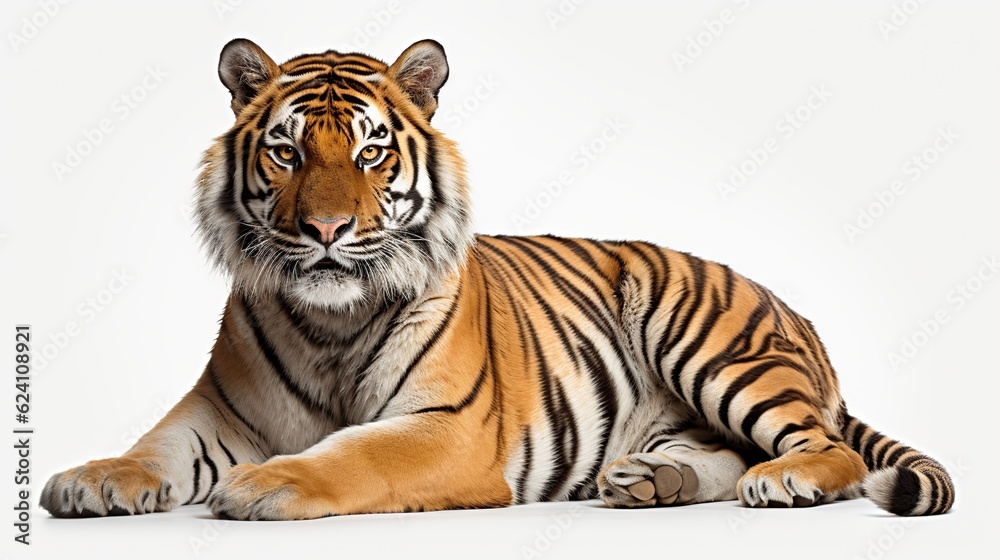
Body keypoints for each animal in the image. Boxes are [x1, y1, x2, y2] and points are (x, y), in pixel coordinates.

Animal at [40, 38, 954, 520]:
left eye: (370, 153)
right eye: (288, 152)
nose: (327, 231)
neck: (332, 320)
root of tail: (797, 315)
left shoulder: (447, 427)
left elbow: (353, 453)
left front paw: (267, 483)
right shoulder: (217, 409)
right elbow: (154, 445)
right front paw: (91, 479)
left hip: (714, 344)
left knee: (825, 445)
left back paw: (782, 480)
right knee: (719, 451)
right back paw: (654, 480)